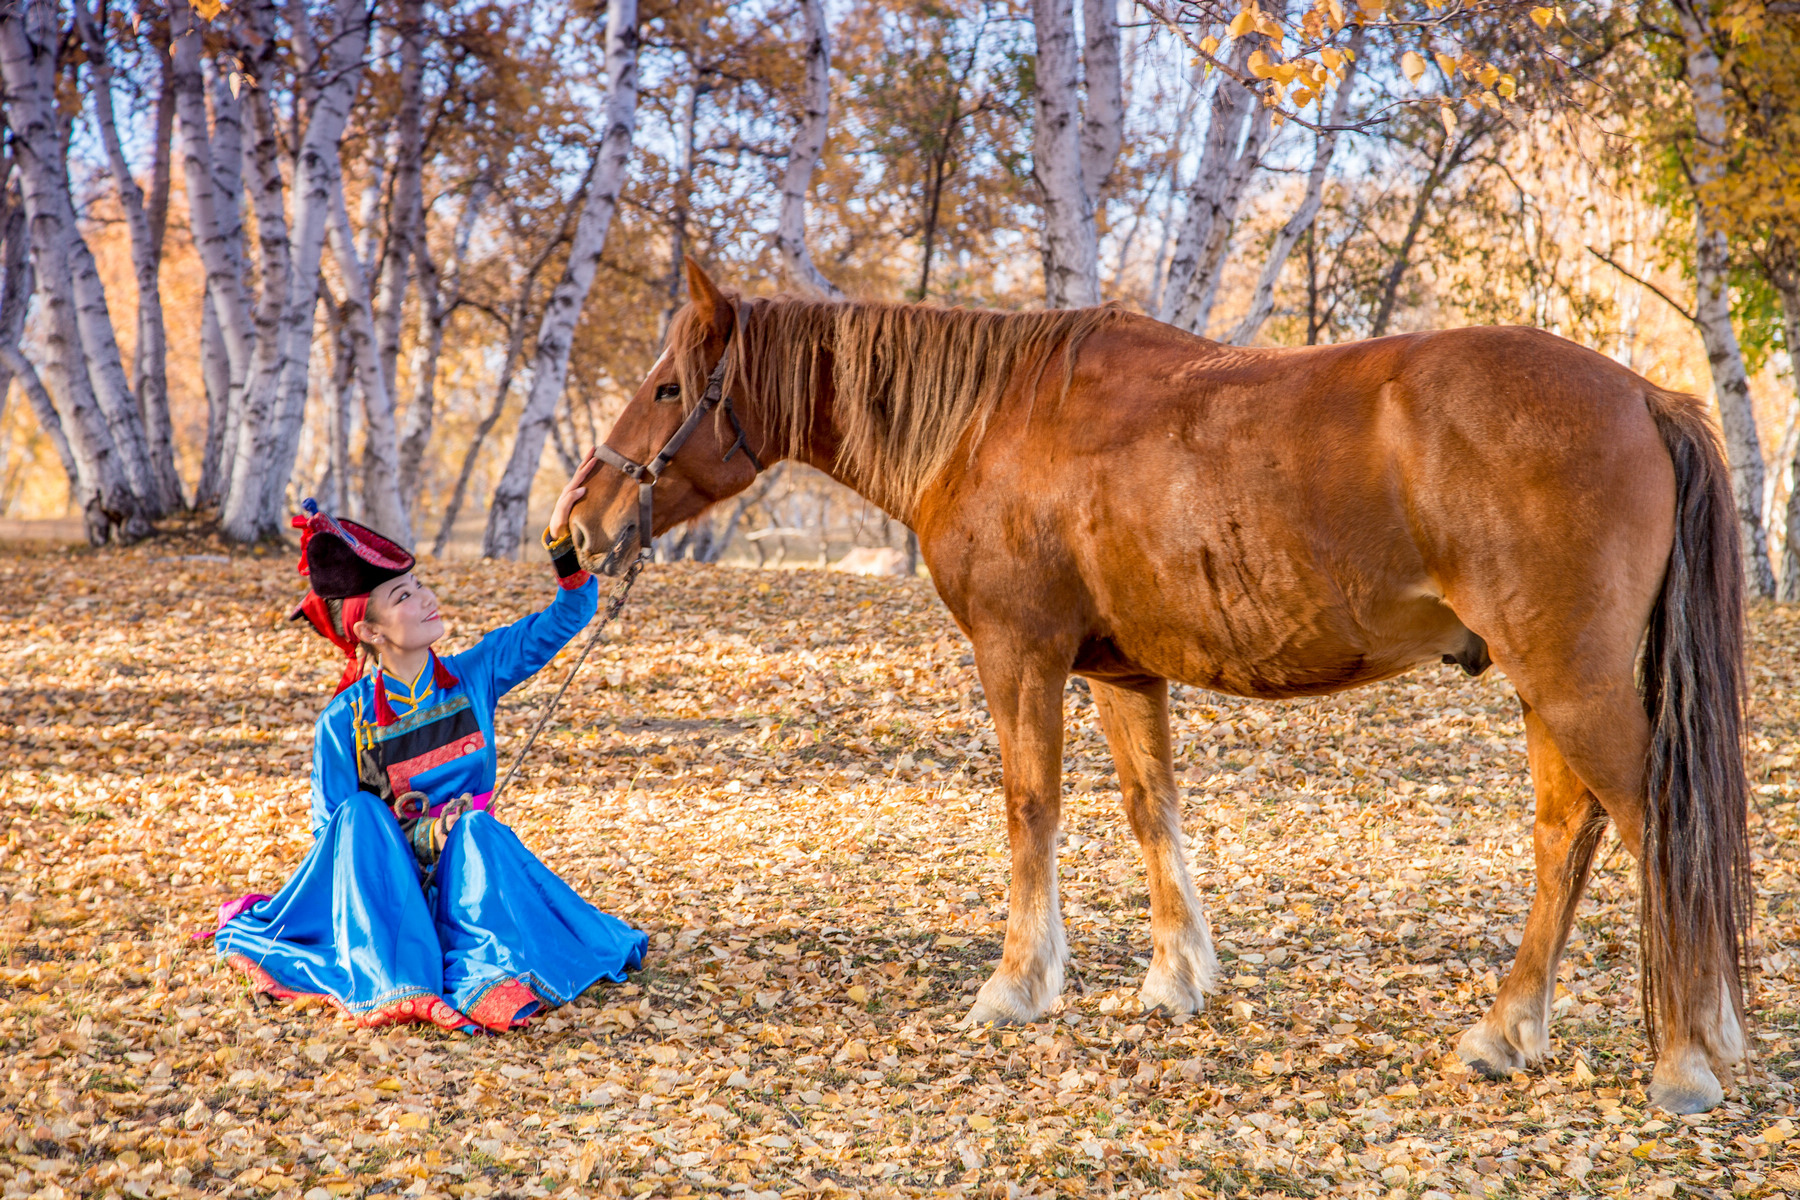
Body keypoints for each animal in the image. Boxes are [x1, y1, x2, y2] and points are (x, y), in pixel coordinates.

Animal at [568, 260, 1749, 1115]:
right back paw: (1509, 1034)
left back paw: (1687, 1058)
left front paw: (1017, 985)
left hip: (1570, 682)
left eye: (668, 388)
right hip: (1545, 688)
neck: (992, 421)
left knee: (1651, 827)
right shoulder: (1120, 673)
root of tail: (1645, 394)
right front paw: (1177, 980)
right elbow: (1151, 812)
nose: (573, 530)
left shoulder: (1021, 654)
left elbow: (1031, 809)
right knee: (1567, 838)